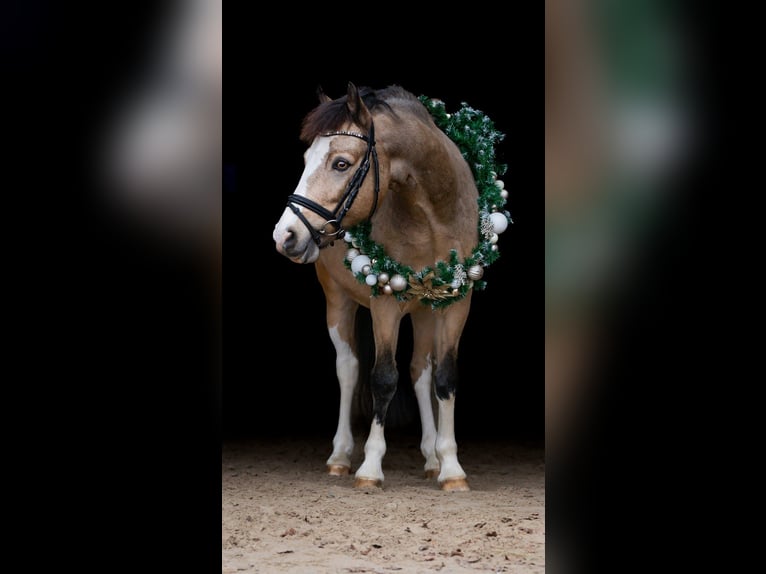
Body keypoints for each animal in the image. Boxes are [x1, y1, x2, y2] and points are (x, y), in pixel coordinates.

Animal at [272, 83, 510, 492]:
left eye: (341, 163)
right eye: (305, 159)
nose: (285, 235)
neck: (432, 216)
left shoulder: (456, 303)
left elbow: (444, 378)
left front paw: (450, 467)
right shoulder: (384, 304)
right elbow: (382, 378)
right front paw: (370, 467)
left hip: (425, 308)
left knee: (420, 372)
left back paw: (430, 457)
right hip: (338, 301)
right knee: (349, 369)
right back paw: (340, 457)